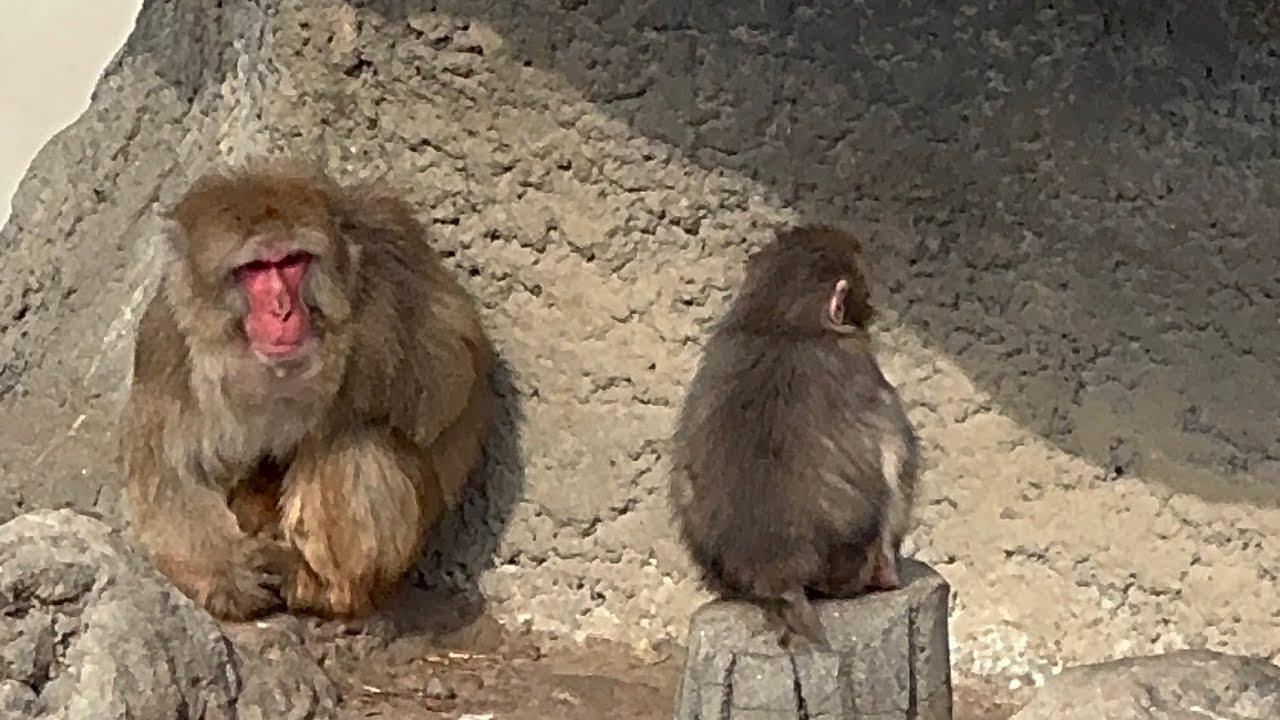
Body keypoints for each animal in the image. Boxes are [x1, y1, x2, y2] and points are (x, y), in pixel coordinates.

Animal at [121, 157, 496, 622]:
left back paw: (322, 585)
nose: (282, 310)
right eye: (254, 270)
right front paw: (229, 577)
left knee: (356, 440)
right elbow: (168, 475)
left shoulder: (388, 279)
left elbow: (449, 382)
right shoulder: (166, 341)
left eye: (292, 261)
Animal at [667, 224, 919, 647]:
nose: (871, 312)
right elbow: (894, 455)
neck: (781, 320)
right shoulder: (861, 367)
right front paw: (891, 572)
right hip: (847, 567)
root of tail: (775, 572)